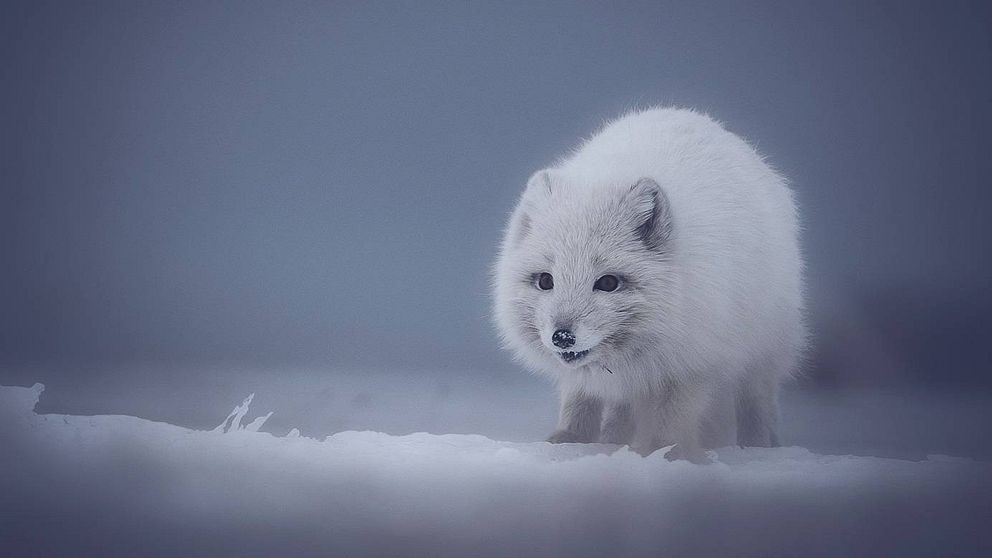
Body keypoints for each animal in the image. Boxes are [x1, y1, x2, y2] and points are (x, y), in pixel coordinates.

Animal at [492, 107, 804, 462]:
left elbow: (673, 413)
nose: (562, 337)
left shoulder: (692, 362)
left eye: (608, 282)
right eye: (546, 280)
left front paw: (664, 454)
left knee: (757, 401)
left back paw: (758, 448)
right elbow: (580, 398)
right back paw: (612, 439)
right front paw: (572, 441)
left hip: (763, 349)